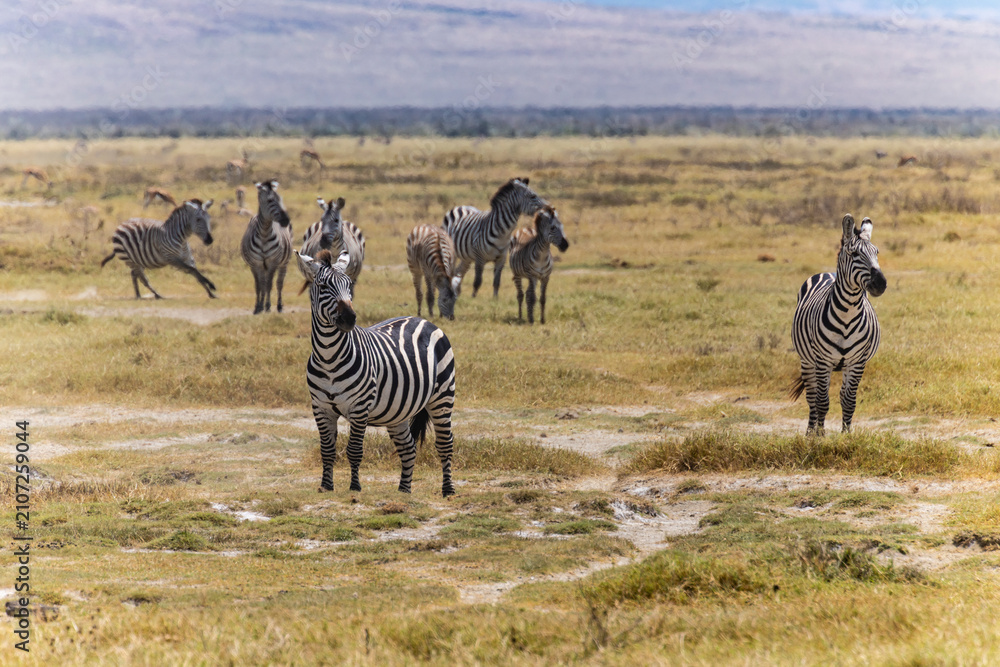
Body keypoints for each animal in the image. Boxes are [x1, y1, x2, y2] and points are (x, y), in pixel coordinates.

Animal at [240, 180, 292, 314]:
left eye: (280, 199)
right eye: (270, 201)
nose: (286, 220)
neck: (264, 234)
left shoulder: (272, 262)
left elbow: (269, 284)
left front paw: (267, 306)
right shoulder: (257, 263)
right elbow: (260, 285)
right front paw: (258, 307)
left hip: (284, 263)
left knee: (279, 283)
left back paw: (279, 306)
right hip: (257, 266)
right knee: (261, 283)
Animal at [295, 249, 456, 497]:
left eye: (349, 284)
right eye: (322, 286)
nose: (349, 318)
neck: (329, 357)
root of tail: (423, 320)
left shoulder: (360, 407)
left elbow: (354, 450)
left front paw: (354, 488)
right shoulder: (320, 407)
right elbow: (327, 450)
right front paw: (326, 486)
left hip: (442, 397)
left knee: (444, 444)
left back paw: (448, 490)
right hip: (398, 413)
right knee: (408, 448)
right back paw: (404, 491)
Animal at [791, 214, 886, 435]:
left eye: (877, 252)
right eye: (854, 254)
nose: (881, 283)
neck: (847, 316)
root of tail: (828, 273)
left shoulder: (857, 361)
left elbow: (849, 401)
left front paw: (846, 435)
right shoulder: (822, 360)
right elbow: (822, 402)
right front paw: (820, 436)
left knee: (840, 395)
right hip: (807, 361)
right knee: (812, 398)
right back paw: (810, 433)